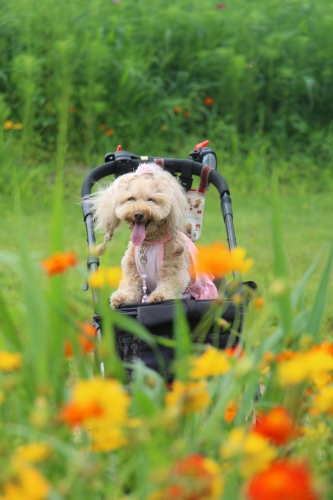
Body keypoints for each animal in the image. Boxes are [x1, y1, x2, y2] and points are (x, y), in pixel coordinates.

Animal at [91, 163, 217, 308]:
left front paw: (159, 297)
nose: (138, 214)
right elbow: (131, 286)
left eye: (151, 200)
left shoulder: (174, 270)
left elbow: (169, 285)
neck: (150, 243)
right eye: (131, 199)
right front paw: (122, 297)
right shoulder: (132, 271)